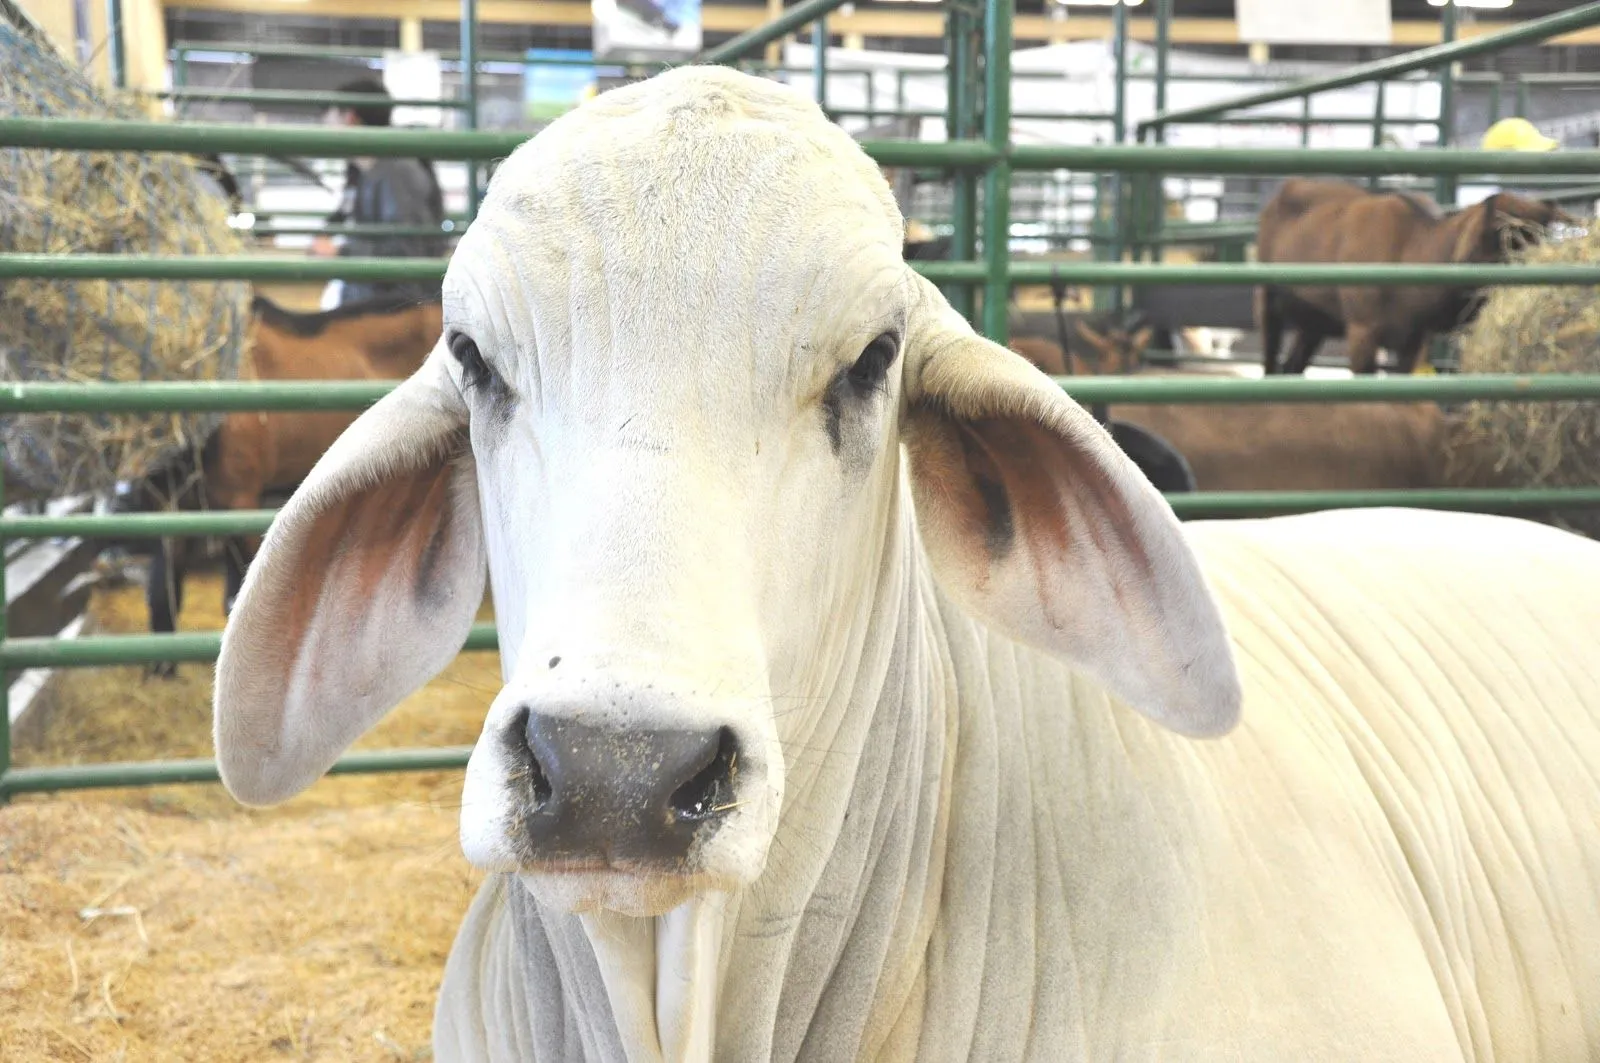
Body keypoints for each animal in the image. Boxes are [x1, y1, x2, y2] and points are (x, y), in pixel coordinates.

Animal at [1254, 181, 1568, 377]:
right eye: (1509, 242)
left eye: (1541, 238)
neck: (1409, 248)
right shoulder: (1361, 332)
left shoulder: (1412, 341)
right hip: (1269, 309)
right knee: (1271, 366)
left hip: (1313, 326)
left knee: (1291, 367)